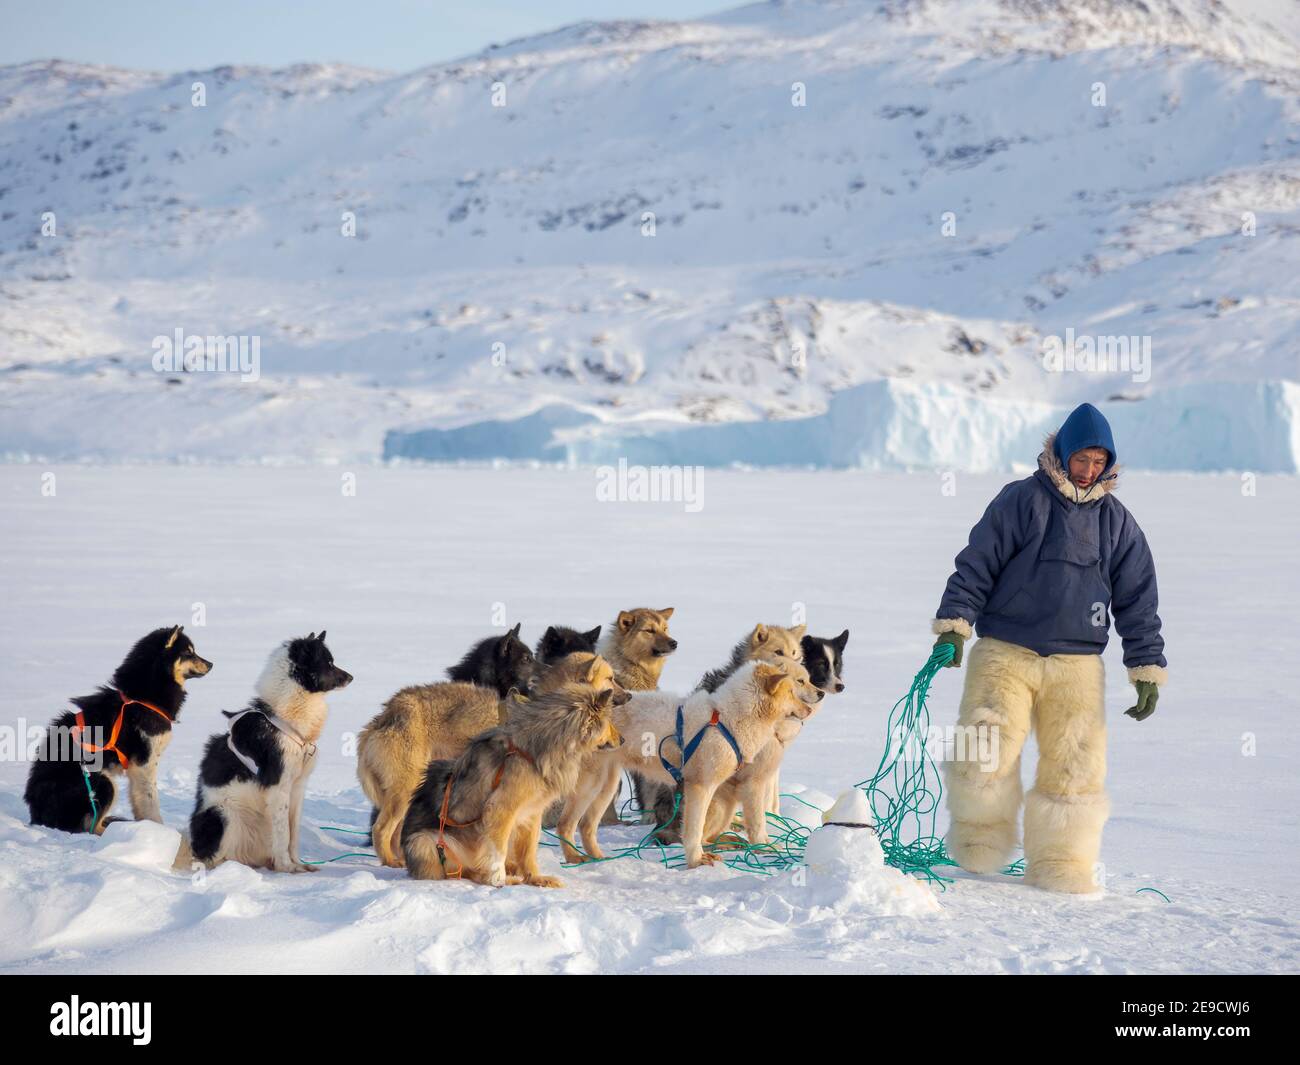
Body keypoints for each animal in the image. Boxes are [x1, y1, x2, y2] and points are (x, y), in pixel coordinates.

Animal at [24, 629, 213, 837]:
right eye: (188, 652)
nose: (211, 664)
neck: (142, 698)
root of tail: (36, 814)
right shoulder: (144, 763)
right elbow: (150, 800)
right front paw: (159, 829)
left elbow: (138, 800)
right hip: (103, 783)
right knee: (91, 827)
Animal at [188, 631, 351, 873]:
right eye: (329, 663)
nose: (351, 677)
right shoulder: (278, 787)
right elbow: (284, 835)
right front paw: (287, 867)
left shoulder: (297, 787)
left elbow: (293, 834)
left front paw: (298, 864)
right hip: (222, 815)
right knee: (210, 858)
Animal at [356, 650, 618, 868]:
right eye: (611, 678)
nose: (627, 695)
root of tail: (383, 716)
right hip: (404, 791)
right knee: (381, 829)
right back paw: (391, 861)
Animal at [403, 681, 621, 889]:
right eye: (609, 722)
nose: (623, 739)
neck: (534, 750)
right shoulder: (501, 809)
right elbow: (497, 852)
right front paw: (499, 881)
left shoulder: (531, 813)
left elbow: (529, 851)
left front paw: (536, 878)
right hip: (425, 842)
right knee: (468, 871)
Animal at [561, 663, 821, 868]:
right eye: (792, 690)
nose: (810, 709)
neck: (727, 718)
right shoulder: (702, 786)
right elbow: (698, 830)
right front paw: (696, 860)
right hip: (590, 784)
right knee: (566, 824)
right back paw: (575, 858)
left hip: (607, 785)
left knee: (586, 826)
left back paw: (598, 858)